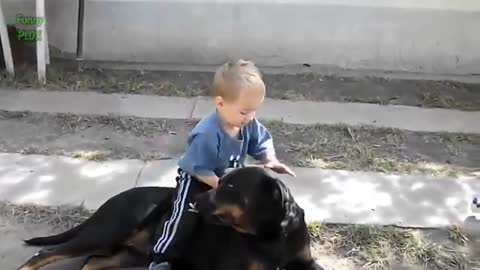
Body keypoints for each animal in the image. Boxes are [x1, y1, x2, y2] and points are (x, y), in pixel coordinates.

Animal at [16, 167, 324, 270]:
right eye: (221, 181)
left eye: (230, 187)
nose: (194, 202)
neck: (273, 235)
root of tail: (113, 199)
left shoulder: (305, 262)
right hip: (105, 233)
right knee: (44, 254)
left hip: (131, 254)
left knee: (91, 262)